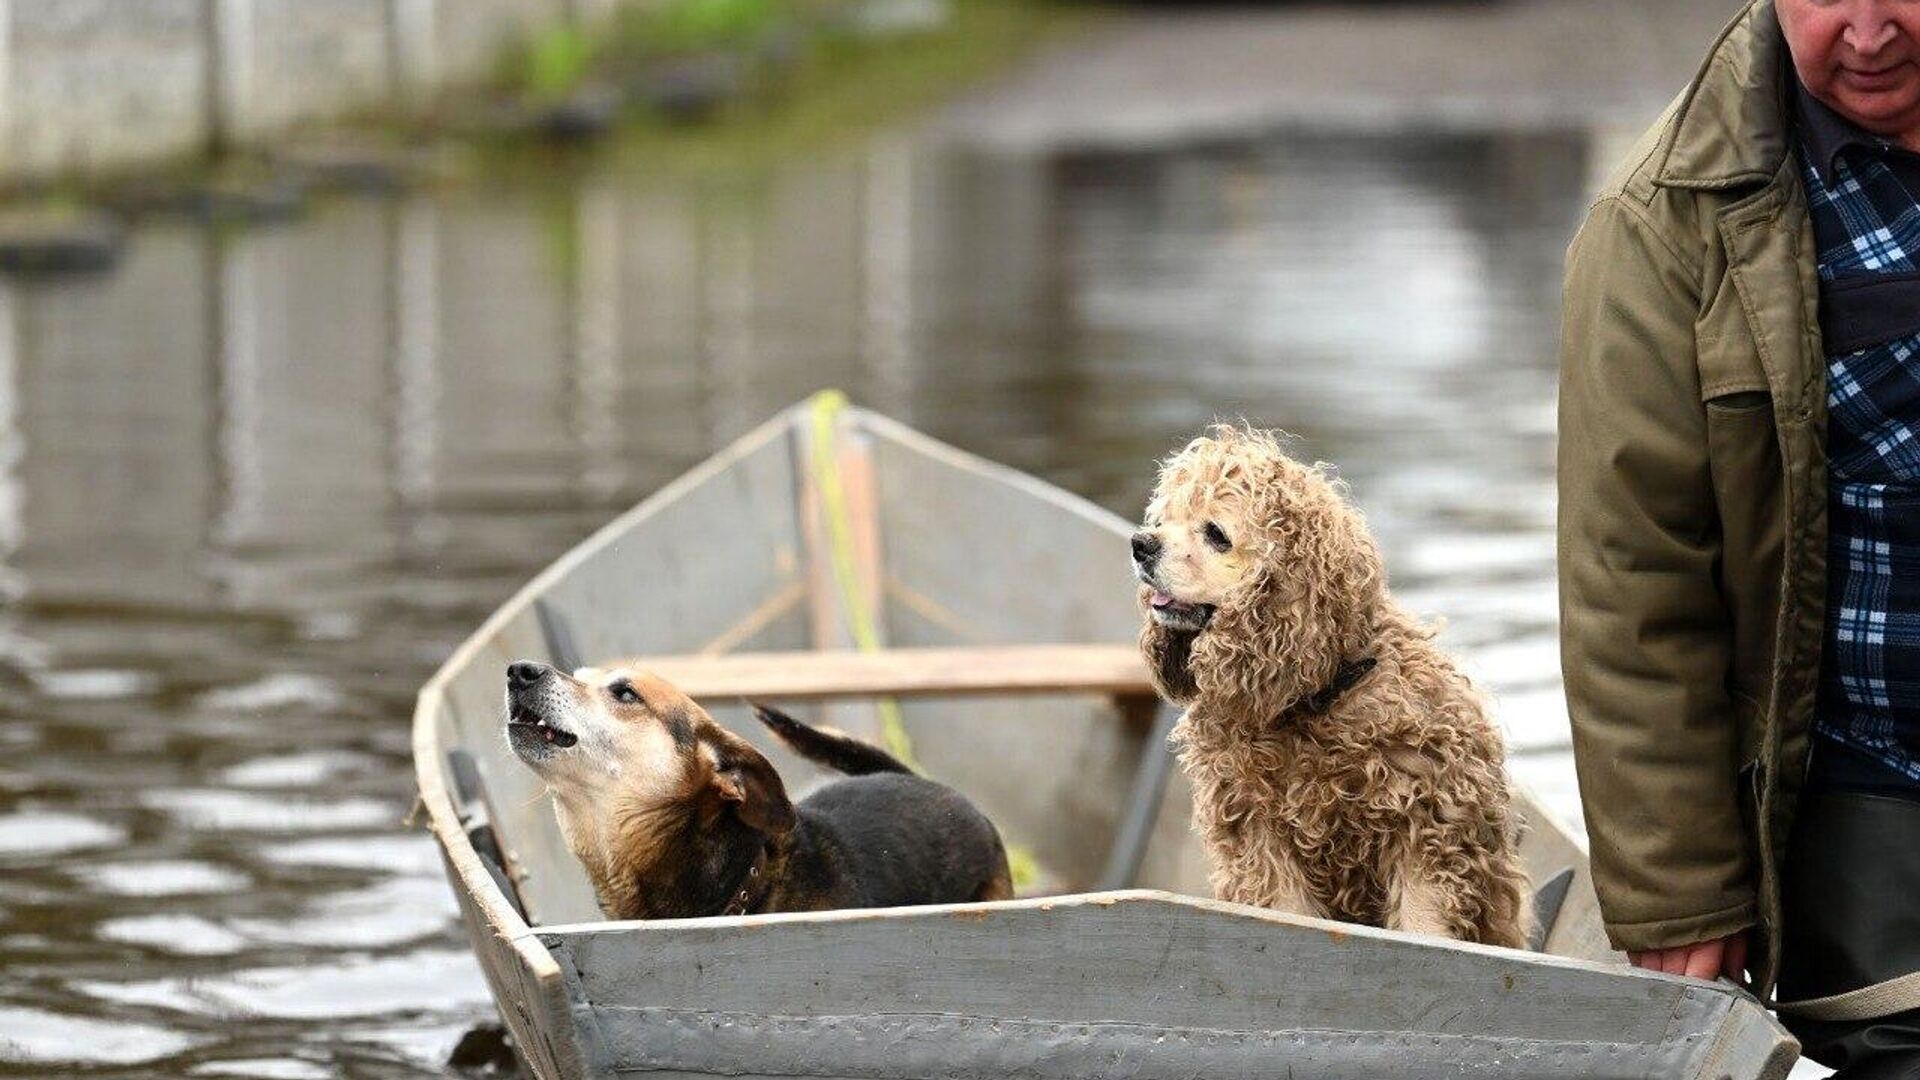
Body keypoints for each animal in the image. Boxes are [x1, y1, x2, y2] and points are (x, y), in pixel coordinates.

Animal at [1136, 424, 1528, 945]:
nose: (1140, 543)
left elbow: (1424, 924)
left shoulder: (1425, 822)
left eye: (1216, 534)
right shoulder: (1259, 831)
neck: (1317, 698)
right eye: (1163, 519)